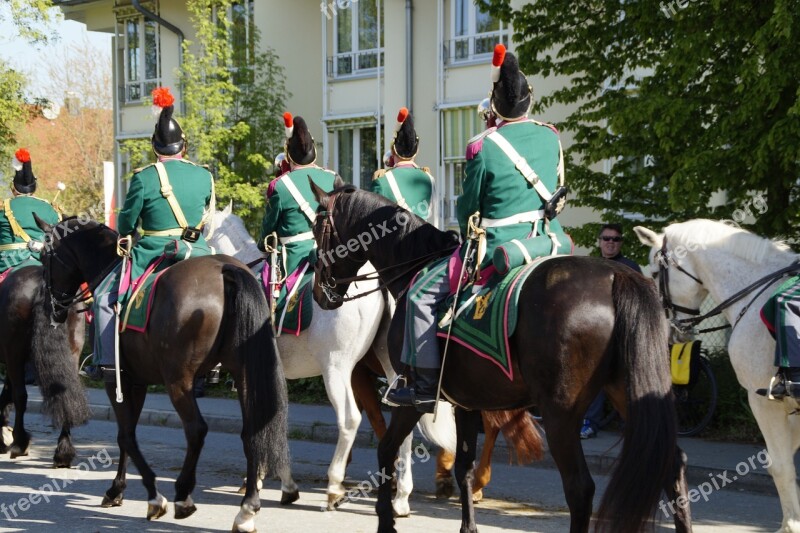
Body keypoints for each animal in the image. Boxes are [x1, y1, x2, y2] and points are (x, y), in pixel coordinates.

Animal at [0, 266, 90, 466]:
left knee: (20, 396)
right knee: (67, 394)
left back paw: (19, 443)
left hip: (14, 352)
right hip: (72, 351)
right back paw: (63, 452)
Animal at [36, 214, 296, 528]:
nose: (51, 308)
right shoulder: (138, 382)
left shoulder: (116, 380)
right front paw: (117, 490)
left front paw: (148, 496)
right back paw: (248, 507)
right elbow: (127, 435)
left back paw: (183, 496)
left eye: (44, 256)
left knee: (196, 429)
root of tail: (226, 269)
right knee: (251, 431)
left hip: (179, 381)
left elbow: (126, 435)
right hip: (243, 374)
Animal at [208, 206, 456, 512]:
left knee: (349, 419)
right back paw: (401, 497)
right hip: (392, 371)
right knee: (403, 426)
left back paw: (335, 487)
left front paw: (255, 479)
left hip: (336, 370)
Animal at [310, 184, 692, 532]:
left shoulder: (410, 396)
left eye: (316, 228)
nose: (319, 294)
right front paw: (468, 527)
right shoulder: (465, 402)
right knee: (672, 469)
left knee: (580, 488)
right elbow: (463, 466)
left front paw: (386, 520)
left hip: (560, 413)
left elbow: (387, 451)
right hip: (627, 392)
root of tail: (616, 274)